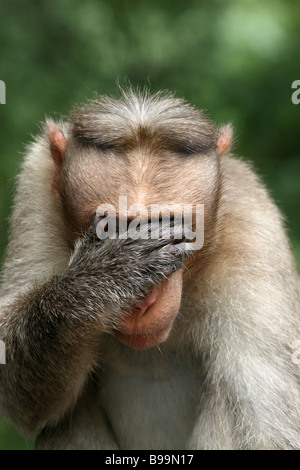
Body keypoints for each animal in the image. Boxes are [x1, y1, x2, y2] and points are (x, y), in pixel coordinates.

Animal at [0, 90, 300, 450]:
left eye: (177, 229)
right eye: (106, 226)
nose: (143, 303)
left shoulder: (252, 229)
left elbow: (271, 431)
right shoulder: (36, 188)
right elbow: (15, 385)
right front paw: (105, 275)